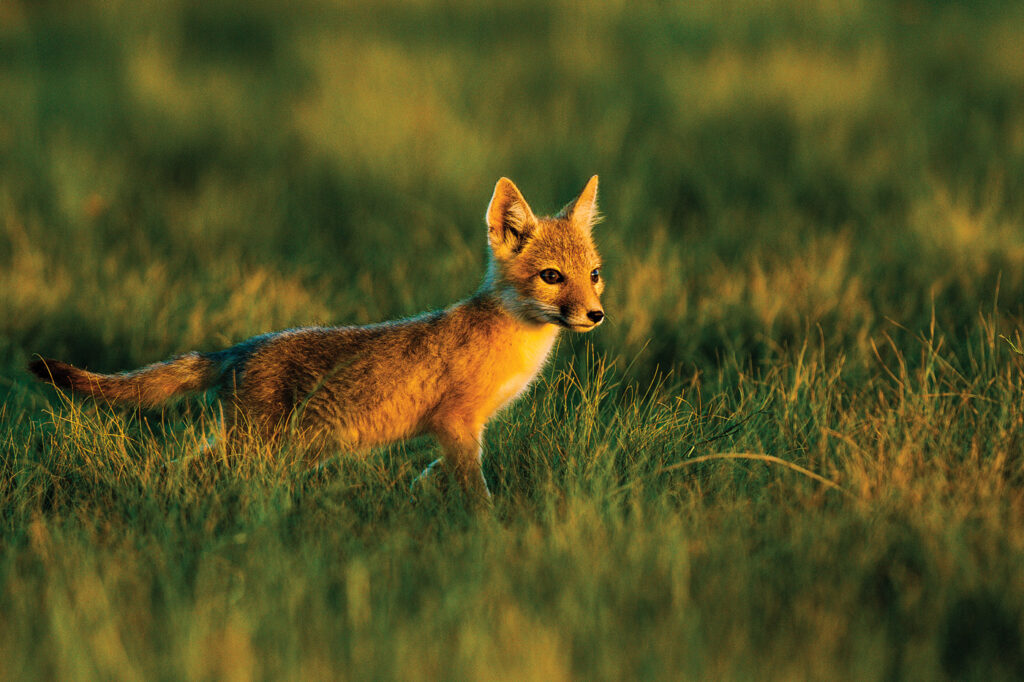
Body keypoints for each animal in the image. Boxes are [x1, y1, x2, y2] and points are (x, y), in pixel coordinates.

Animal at [28, 178, 602, 501]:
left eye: (593, 274)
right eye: (552, 277)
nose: (596, 315)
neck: (516, 344)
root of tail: (242, 347)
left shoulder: (461, 430)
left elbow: (437, 471)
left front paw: (421, 490)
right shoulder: (457, 423)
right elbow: (475, 490)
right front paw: (490, 534)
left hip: (285, 453)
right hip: (256, 450)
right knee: (182, 468)